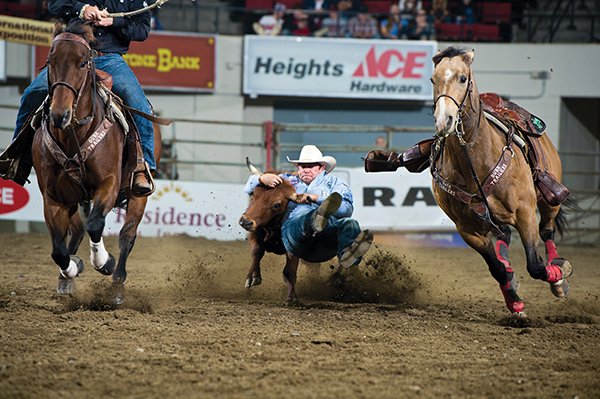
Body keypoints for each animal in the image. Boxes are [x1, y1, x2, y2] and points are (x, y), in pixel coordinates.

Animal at [30, 21, 162, 296]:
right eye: (49, 61)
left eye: (82, 63)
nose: (59, 114)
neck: (74, 135)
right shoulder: (53, 197)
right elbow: (58, 249)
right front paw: (70, 269)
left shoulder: (108, 185)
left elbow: (96, 224)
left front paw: (104, 262)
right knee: (77, 230)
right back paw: (66, 277)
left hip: (138, 192)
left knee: (127, 234)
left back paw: (117, 283)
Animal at [426, 46, 572, 316]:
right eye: (433, 79)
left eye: (463, 78)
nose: (444, 121)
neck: (475, 161)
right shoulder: (466, 229)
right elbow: (496, 269)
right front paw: (515, 304)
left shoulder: (525, 212)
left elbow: (535, 265)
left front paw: (560, 273)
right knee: (503, 235)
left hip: (550, 200)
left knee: (546, 231)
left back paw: (558, 280)